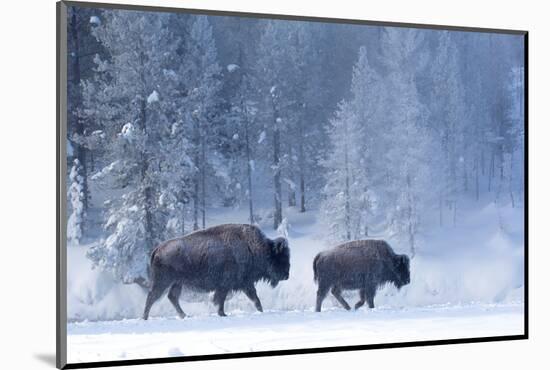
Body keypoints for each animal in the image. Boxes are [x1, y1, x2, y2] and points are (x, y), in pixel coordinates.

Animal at [143, 224, 294, 320]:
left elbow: (255, 299)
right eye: (280, 257)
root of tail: (157, 249)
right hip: (163, 282)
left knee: (172, 297)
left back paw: (184, 315)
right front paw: (222, 314)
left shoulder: (245, 284)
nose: (286, 275)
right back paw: (145, 317)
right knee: (152, 297)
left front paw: (260, 311)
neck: (255, 248)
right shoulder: (227, 286)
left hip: (177, 283)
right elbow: (221, 300)